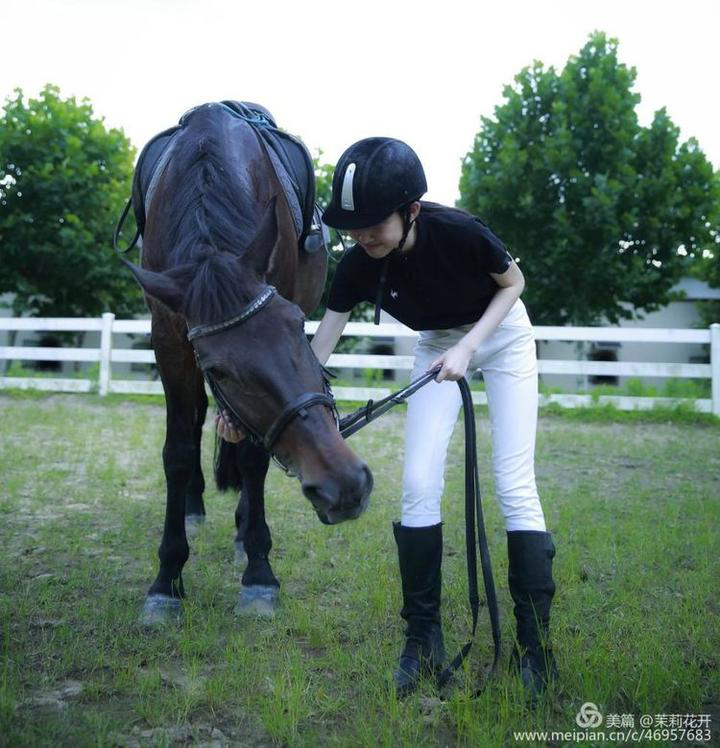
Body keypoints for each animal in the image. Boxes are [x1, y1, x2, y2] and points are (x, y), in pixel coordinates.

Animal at [123, 102, 374, 624]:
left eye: (298, 325)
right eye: (219, 368)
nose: (345, 487)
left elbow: (253, 456)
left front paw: (258, 570)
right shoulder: (169, 337)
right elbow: (178, 451)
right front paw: (166, 579)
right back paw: (194, 506)